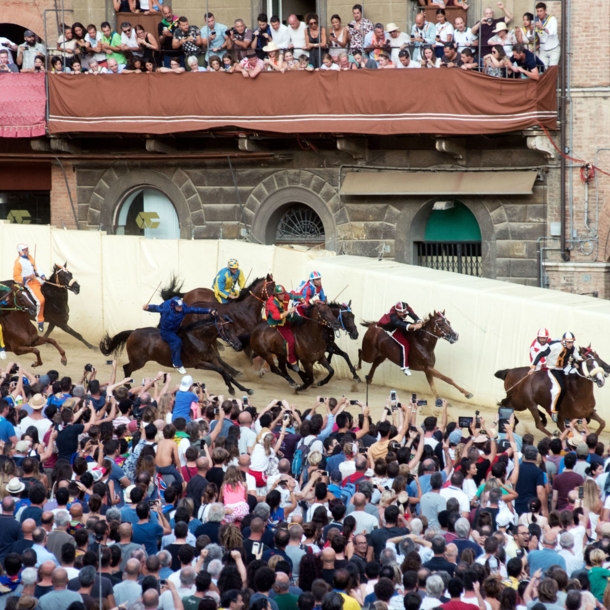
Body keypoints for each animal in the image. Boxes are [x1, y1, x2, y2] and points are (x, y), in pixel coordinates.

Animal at [100, 308, 252, 394]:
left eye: (233, 328)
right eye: (227, 329)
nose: (238, 345)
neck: (199, 338)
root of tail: (133, 332)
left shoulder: (212, 359)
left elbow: (226, 373)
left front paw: (242, 389)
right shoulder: (198, 364)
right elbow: (220, 370)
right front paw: (232, 389)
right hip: (138, 361)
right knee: (127, 368)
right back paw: (126, 386)